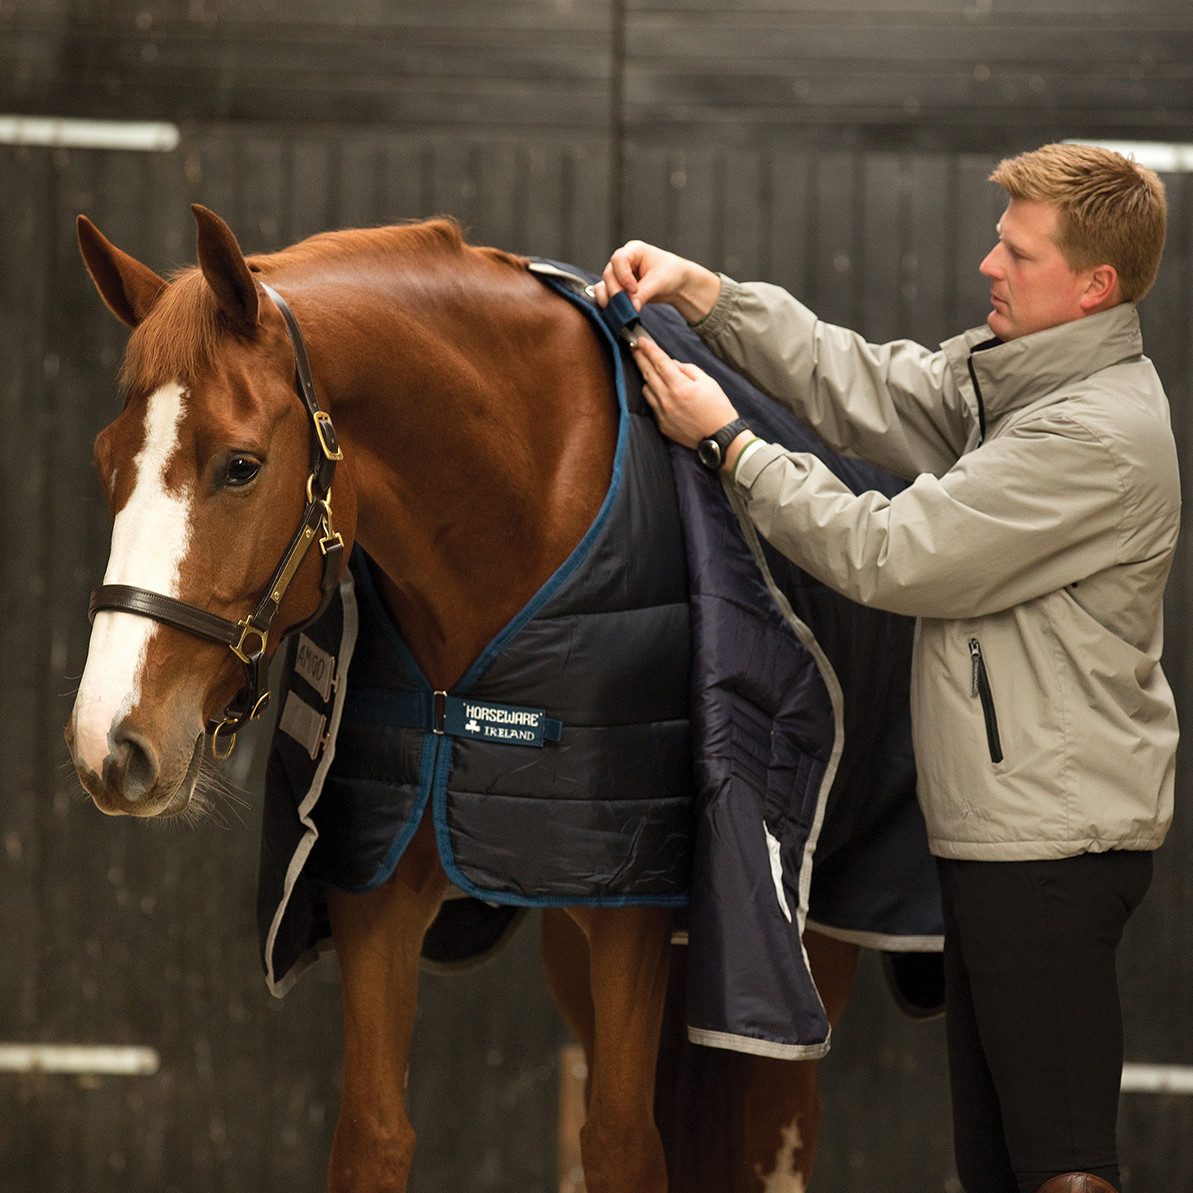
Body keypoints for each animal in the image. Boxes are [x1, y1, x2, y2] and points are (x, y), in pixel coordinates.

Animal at [64, 204, 860, 1193]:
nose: (109, 743)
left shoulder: (632, 908)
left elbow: (621, 1144)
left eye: (240, 466)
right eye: (106, 461)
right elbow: (375, 1133)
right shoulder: (377, 888)